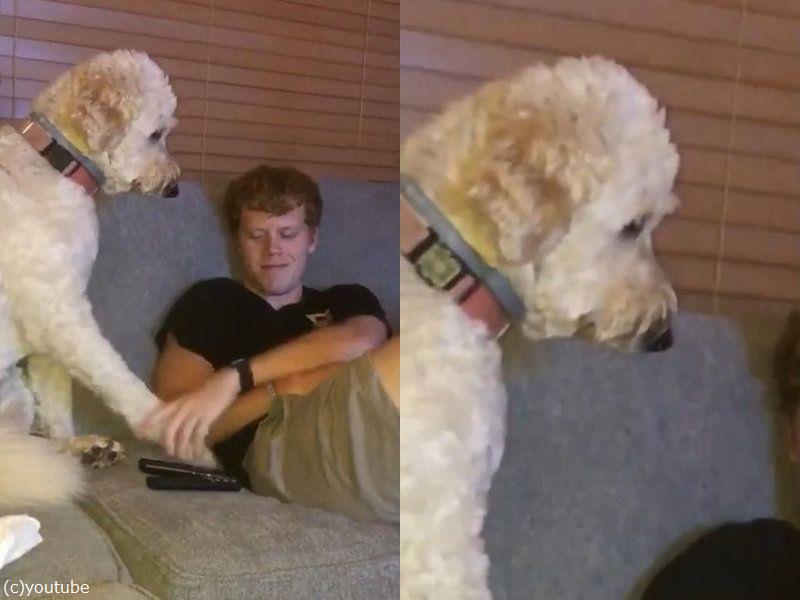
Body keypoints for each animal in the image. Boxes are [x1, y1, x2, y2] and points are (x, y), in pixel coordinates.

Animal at [0, 50, 180, 506]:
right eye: (156, 133)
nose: (174, 188)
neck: (55, 164)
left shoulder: (51, 335)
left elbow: (58, 407)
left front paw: (72, 444)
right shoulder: (63, 318)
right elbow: (118, 379)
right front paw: (162, 421)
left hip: (16, 397)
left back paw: (84, 452)